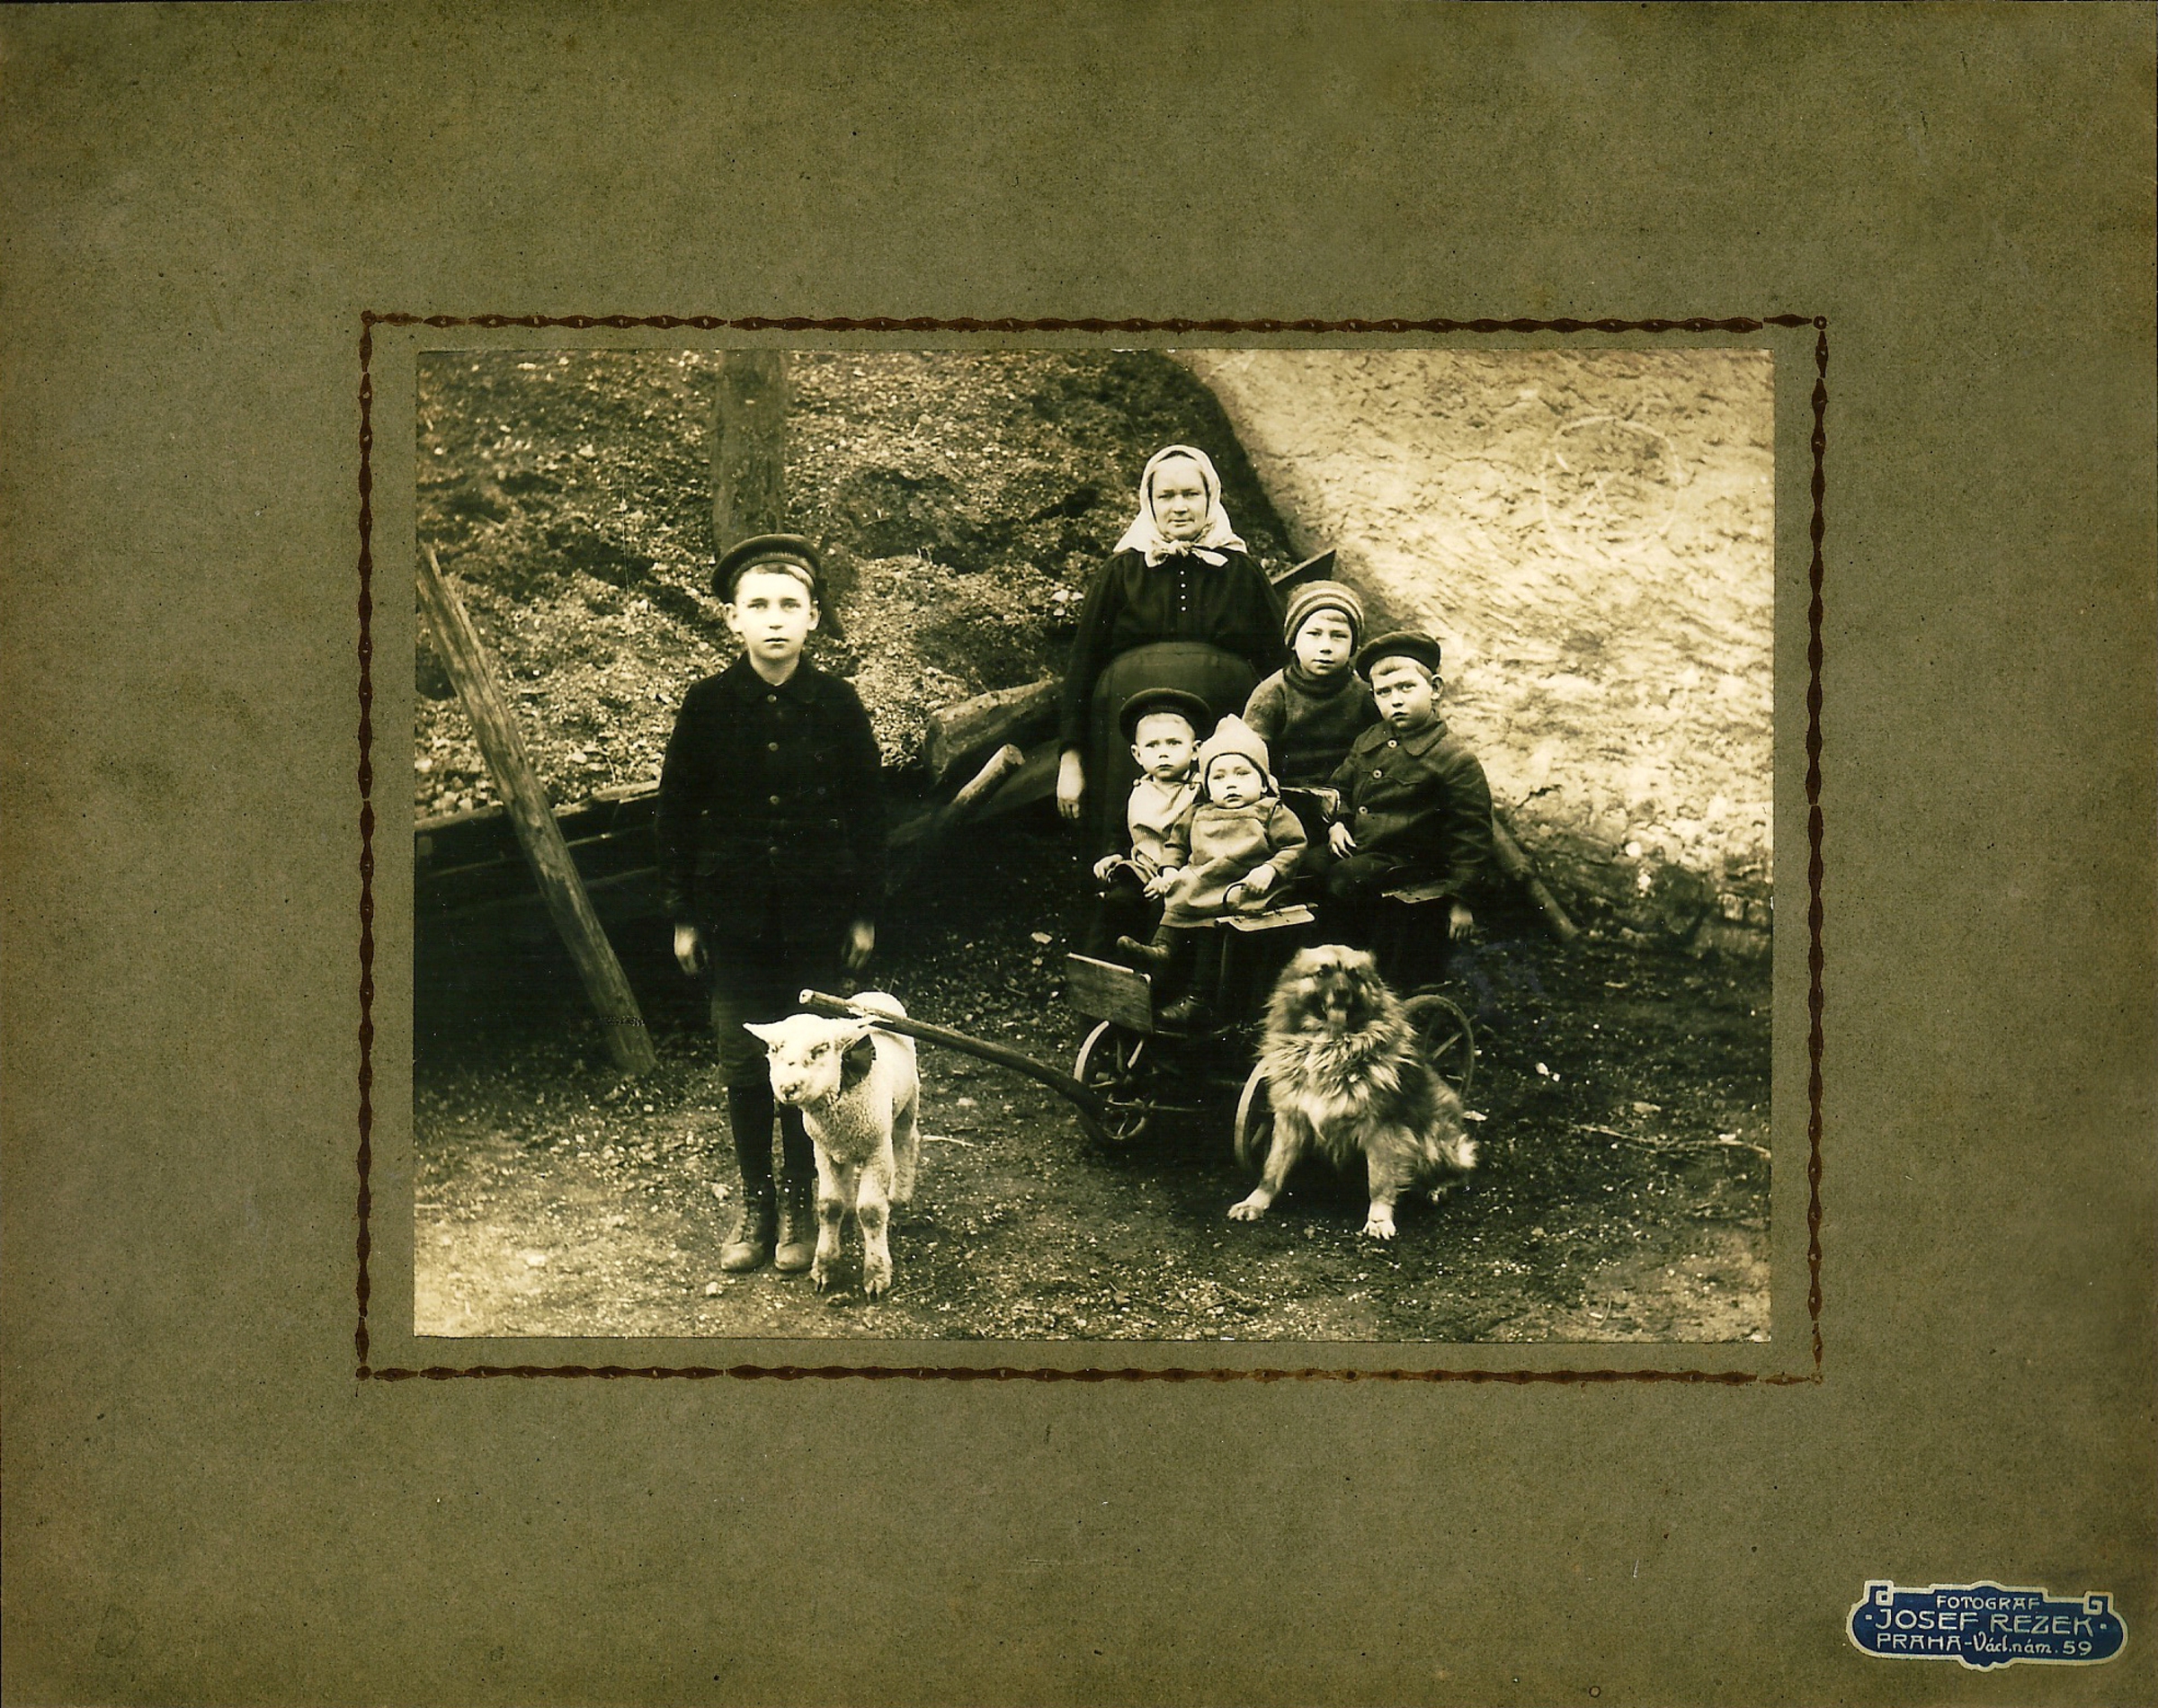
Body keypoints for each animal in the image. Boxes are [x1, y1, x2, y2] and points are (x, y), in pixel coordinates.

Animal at [743, 992, 921, 1298]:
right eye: (775, 1049)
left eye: (821, 1049)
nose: (788, 1088)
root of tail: (875, 994)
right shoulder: (824, 1150)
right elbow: (829, 1205)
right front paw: (824, 1269)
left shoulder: (877, 1150)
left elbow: (871, 1211)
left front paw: (876, 1275)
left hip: (907, 1103)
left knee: (905, 1142)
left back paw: (900, 1195)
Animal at [1231, 945, 1477, 1239]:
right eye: (1322, 972)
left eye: (1354, 975)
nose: (1341, 992)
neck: (1330, 1046)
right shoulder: (1290, 1119)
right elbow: (1272, 1168)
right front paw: (1255, 1201)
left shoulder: (1382, 1129)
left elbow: (1380, 1181)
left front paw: (1379, 1219)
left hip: (1433, 1139)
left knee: (1460, 1169)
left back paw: (1439, 1188)